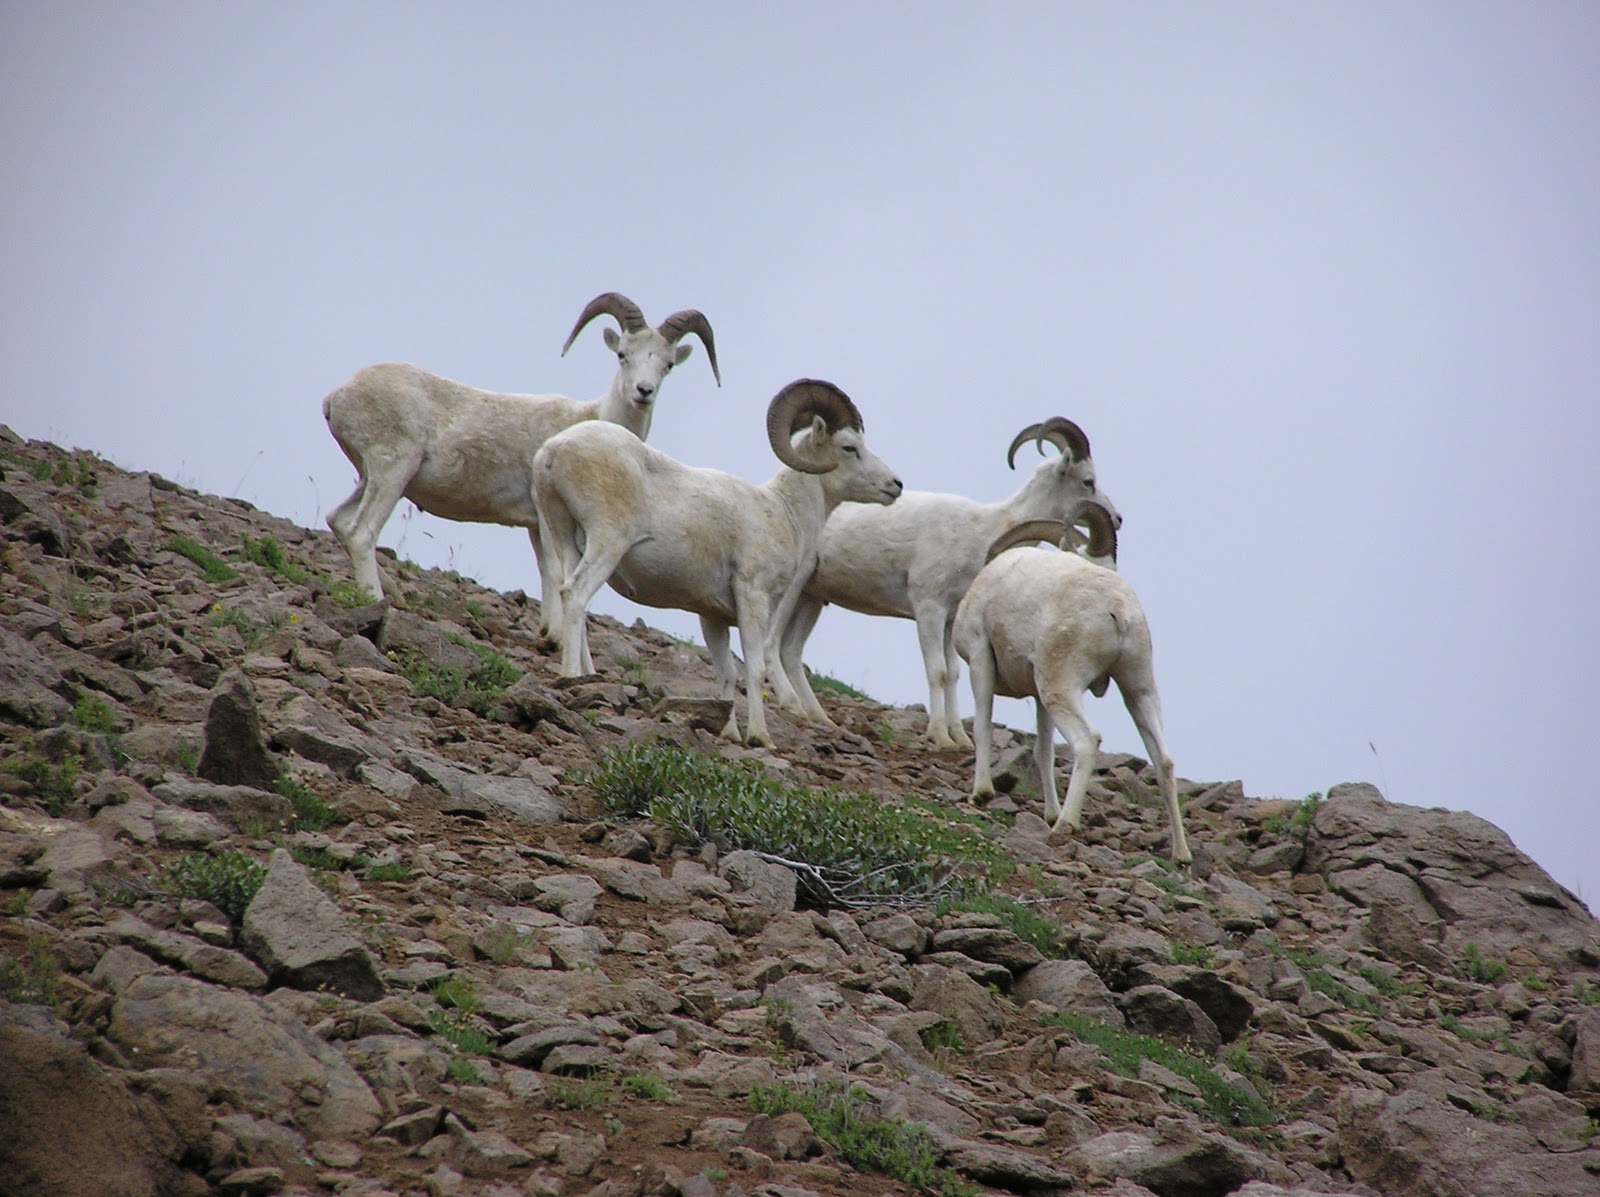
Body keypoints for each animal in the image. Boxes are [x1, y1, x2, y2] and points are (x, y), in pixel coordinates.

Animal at [320, 288, 720, 608]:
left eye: (668, 365)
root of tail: (336, 396)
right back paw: (375, 600)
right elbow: (556, 576)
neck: (593, 419)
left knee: (338, 520)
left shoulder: (536, 526)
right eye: (623, 354)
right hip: (392, 471)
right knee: (361, 533)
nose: (643, 392)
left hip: (370, 477)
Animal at [534, 379, 902, 742]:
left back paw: (587, 674)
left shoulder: (713, 616)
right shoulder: (753, 597)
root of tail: (554, 449)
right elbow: (755, 668)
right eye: (849, 447)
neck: (783, 512)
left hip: (567, 539)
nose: (895, 485)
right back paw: (571, 675)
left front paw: (730, 733)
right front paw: (759, 737)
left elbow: (726, 673)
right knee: (575, 593)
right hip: (608, 541)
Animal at [764, 416, 1120, 742]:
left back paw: (818, 717)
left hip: (811, 600)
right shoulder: (928, 607)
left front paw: (960, 738)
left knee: (791, 651)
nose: (1118, 518)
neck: (985, 531)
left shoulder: (949, 619)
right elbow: (936, 671)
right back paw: (793, 706)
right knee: (774, 642)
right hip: (793, 590)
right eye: (1088, 481)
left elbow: (953, 674)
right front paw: (939, 737)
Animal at [947, 499, 1190, 864]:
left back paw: (1065, 825)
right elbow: (1043, 751)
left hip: (1061, 689)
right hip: (1137, 688)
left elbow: (983, 726)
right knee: (1164, 760)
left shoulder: (981, 658)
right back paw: (1181, 855)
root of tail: (1117, 608)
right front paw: (1048, 811)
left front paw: (981, 794)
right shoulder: (1038, 695)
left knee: (1087, 741)